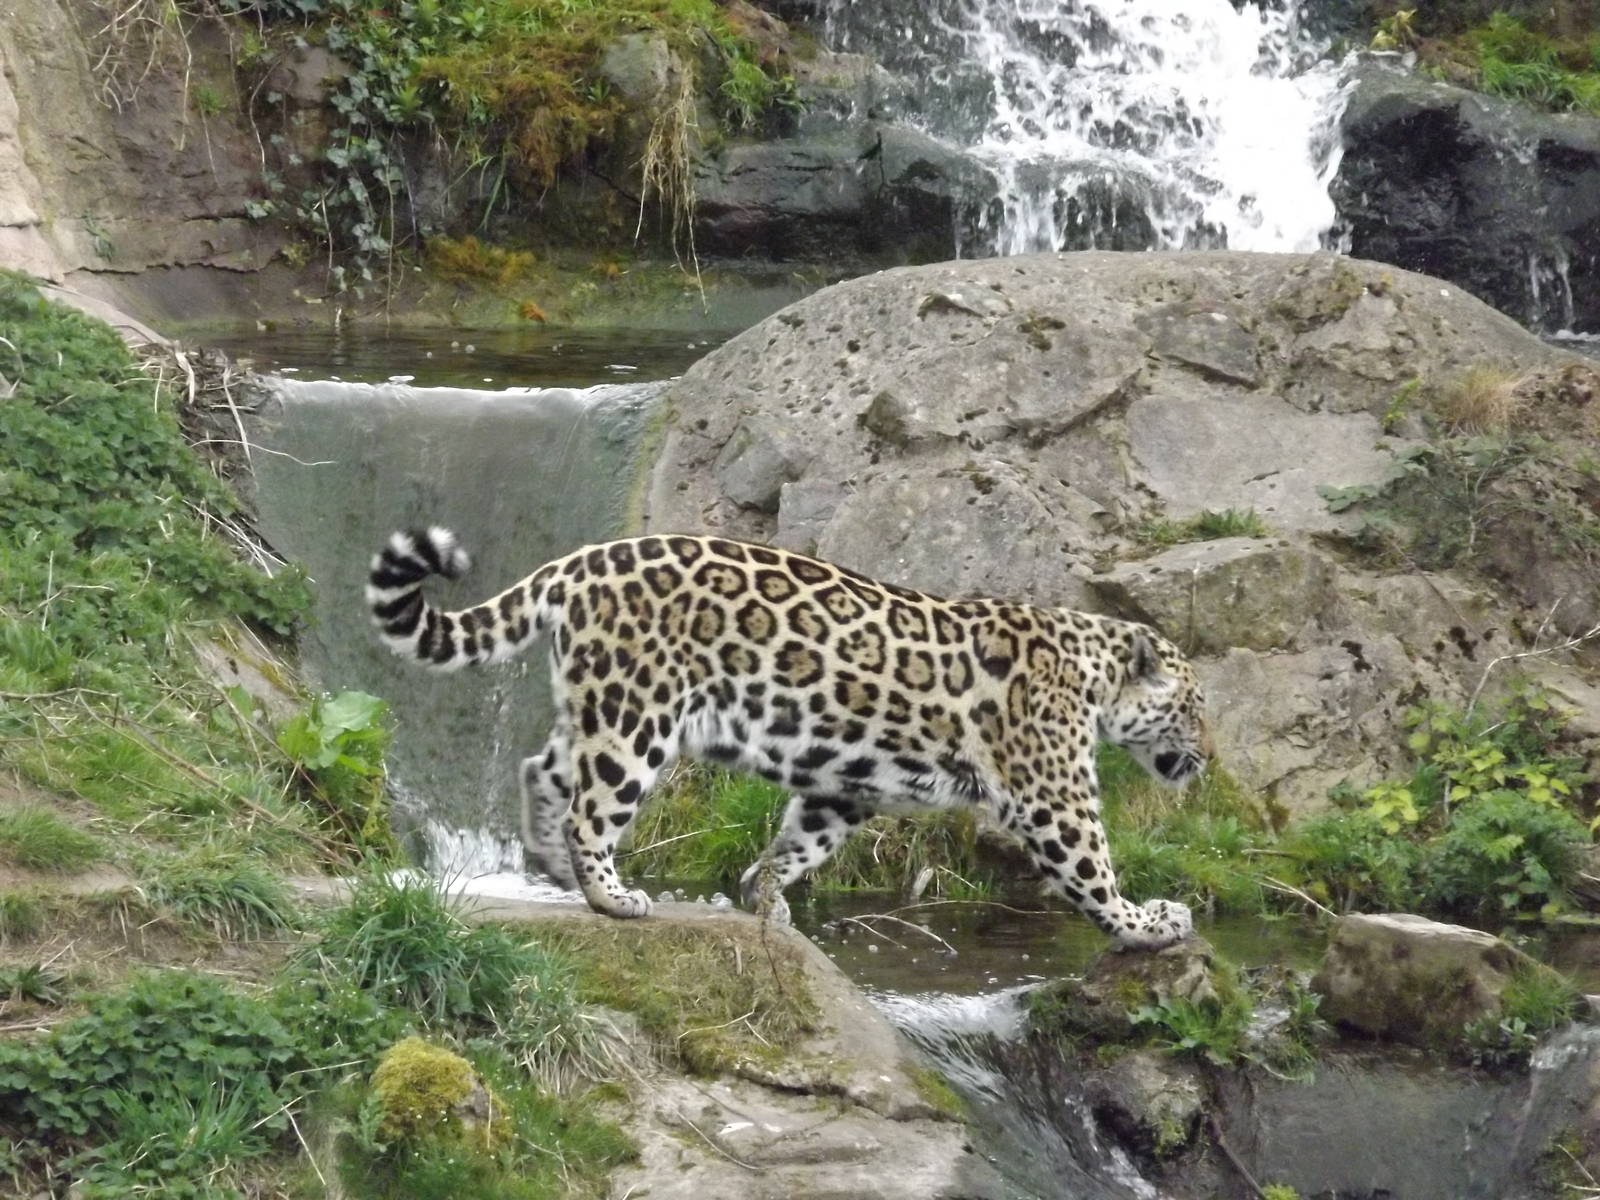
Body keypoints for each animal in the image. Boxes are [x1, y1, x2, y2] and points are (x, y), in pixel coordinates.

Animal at [366, 527, 1213, 949]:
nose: (1208, 756)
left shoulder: (842, 787)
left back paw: (548, 867)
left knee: (542, 767)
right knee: (590, 804)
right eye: (1196, 705)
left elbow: (795, 845)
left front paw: (765, 904)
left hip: (598, 704)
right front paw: (1145, 925)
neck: (1093, 671)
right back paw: (612, 897)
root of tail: (580, 562)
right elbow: (1092, 869)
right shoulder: (1053, 797)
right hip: (637, 714)